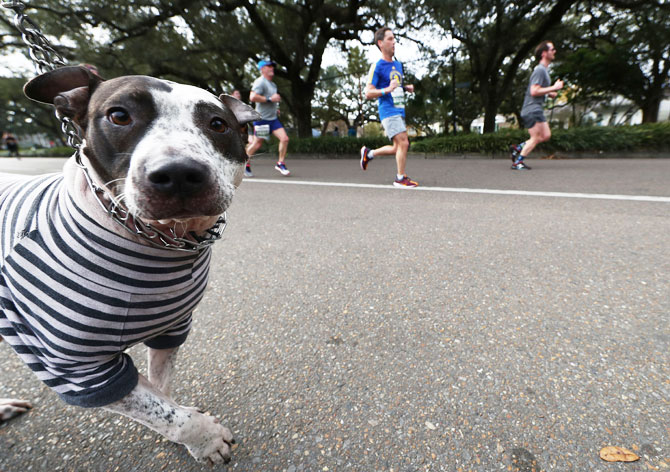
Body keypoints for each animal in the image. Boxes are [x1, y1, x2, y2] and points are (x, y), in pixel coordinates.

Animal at [0, 65, 260, 464]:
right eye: (119, 115)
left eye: (218, 124)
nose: (179, 173)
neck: (157, 242)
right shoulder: (74, 368)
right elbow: (158, 408)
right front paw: (203, 437)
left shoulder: (171, 328)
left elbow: (158, 395)